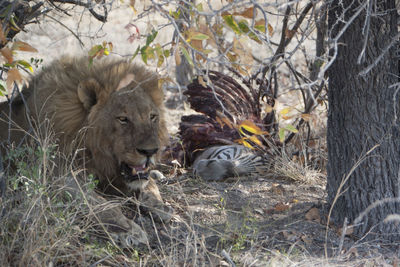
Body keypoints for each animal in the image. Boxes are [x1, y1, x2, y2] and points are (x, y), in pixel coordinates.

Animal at [1, 55, 173, 248]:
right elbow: (98, 203)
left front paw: (159, 205)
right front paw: (128, 230)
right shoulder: (57, 176)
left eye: (152, 117)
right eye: (123, 119)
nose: (151, 151)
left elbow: (148, 183)